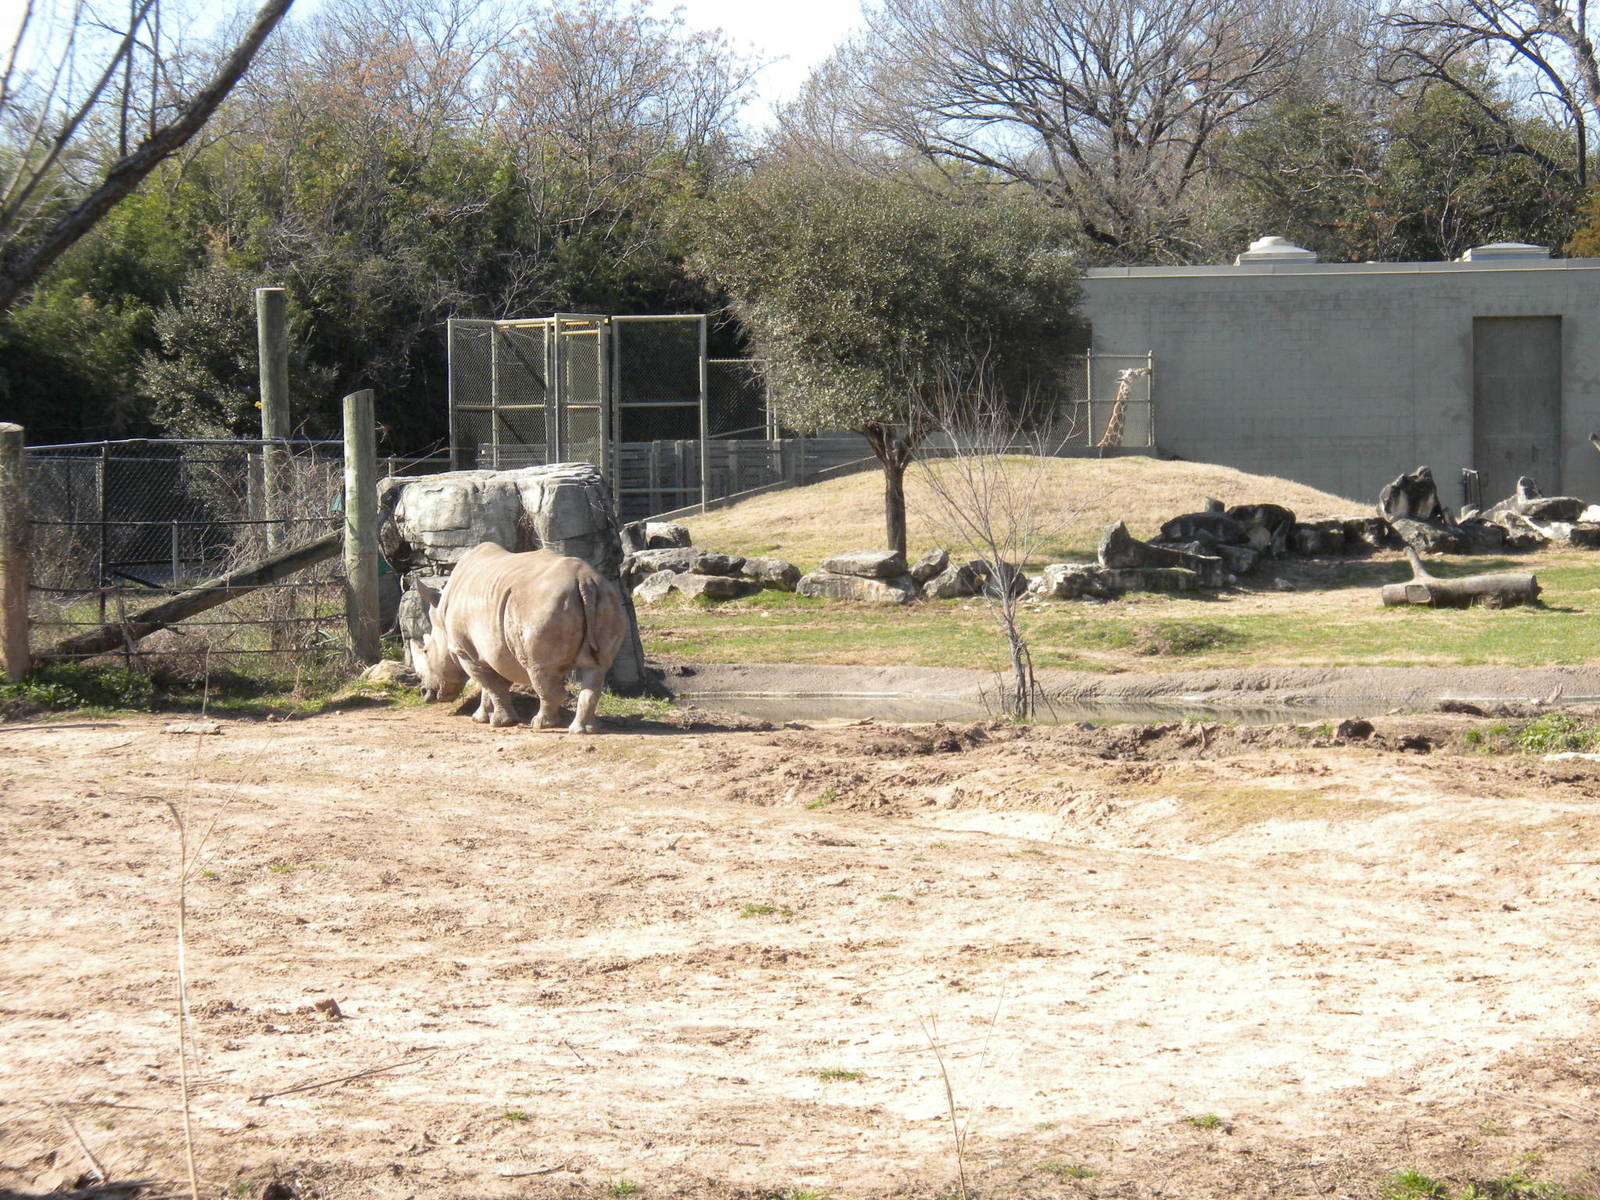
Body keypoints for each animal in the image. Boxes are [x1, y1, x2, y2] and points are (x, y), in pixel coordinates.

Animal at [401, 543, 629, 733]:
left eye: (426, 651)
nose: (424, 692)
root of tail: (584, 580)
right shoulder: (491, 652)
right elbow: (489, 687)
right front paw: (480, 718)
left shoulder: (465, 652)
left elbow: (492, 686)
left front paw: (500, 722)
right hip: (608, 597)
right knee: (596, 669)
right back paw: (582, 730)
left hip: (543, 606)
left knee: (540, 670)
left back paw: (541, 725)